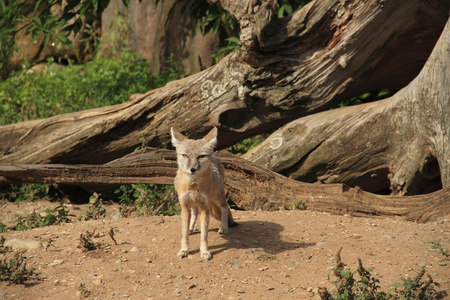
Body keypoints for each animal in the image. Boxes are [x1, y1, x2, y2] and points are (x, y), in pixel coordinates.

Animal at [171, 126, 237, 260]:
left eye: (201, 156)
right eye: (185, 155)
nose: (192, 169)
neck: (193, 185)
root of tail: (215, 156)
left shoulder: (205, 207)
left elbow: (204, 235)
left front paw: (205, 251)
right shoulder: (185, 206)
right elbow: (184, 234)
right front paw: (184, 250)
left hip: (217, 197)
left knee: (225, 208)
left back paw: (224, 228)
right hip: (195, 203)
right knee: (195, 213)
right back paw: (191, 227)